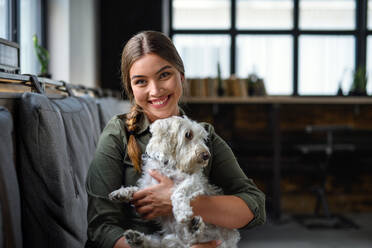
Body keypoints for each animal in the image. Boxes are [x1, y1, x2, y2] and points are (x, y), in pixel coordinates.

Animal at [109, 116, 240, 248]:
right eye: (188, 135)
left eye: (203, 138)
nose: (206, 155)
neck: (169, 165)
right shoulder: (149, 186)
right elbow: (137, 190)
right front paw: (121, 193)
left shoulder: (195, 181)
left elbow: (178, 191)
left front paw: (182, 211)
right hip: (168, 240)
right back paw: (136, 238)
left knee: (193, 239)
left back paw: (194, 228)